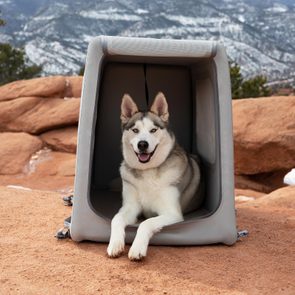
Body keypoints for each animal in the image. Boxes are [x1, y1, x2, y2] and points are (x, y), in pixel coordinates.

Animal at [107, 92, 202, 262]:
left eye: (153, 130)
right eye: (135, 130)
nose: (142, 144)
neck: (148, 171)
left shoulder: (172, 213)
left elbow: (146, 223)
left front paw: (137, 248)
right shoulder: (130, 207)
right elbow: (116, 219)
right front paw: (115, 244)